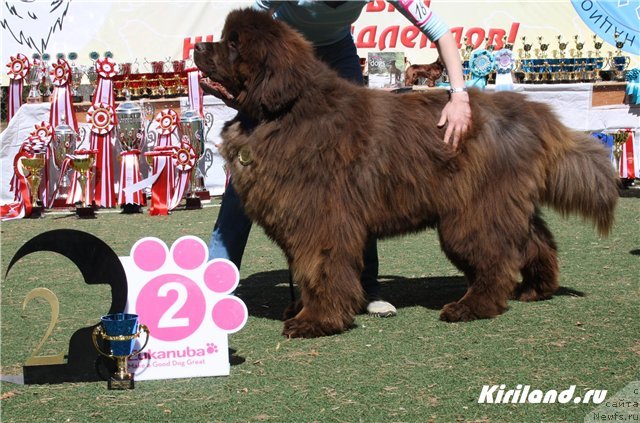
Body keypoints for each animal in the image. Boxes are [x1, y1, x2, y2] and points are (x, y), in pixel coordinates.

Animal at [195, 8, 620, 340]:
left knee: (496, 259)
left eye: (233, 44)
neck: (282, 112)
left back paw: (469, 308)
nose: (197, 47)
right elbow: (305, 270)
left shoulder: (321, 221)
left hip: (471, 213)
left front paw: (314, 321)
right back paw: (535, 289)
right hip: (501, 203)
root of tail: (534, 113)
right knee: (536, 243)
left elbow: (319, 269)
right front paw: (303, 311)